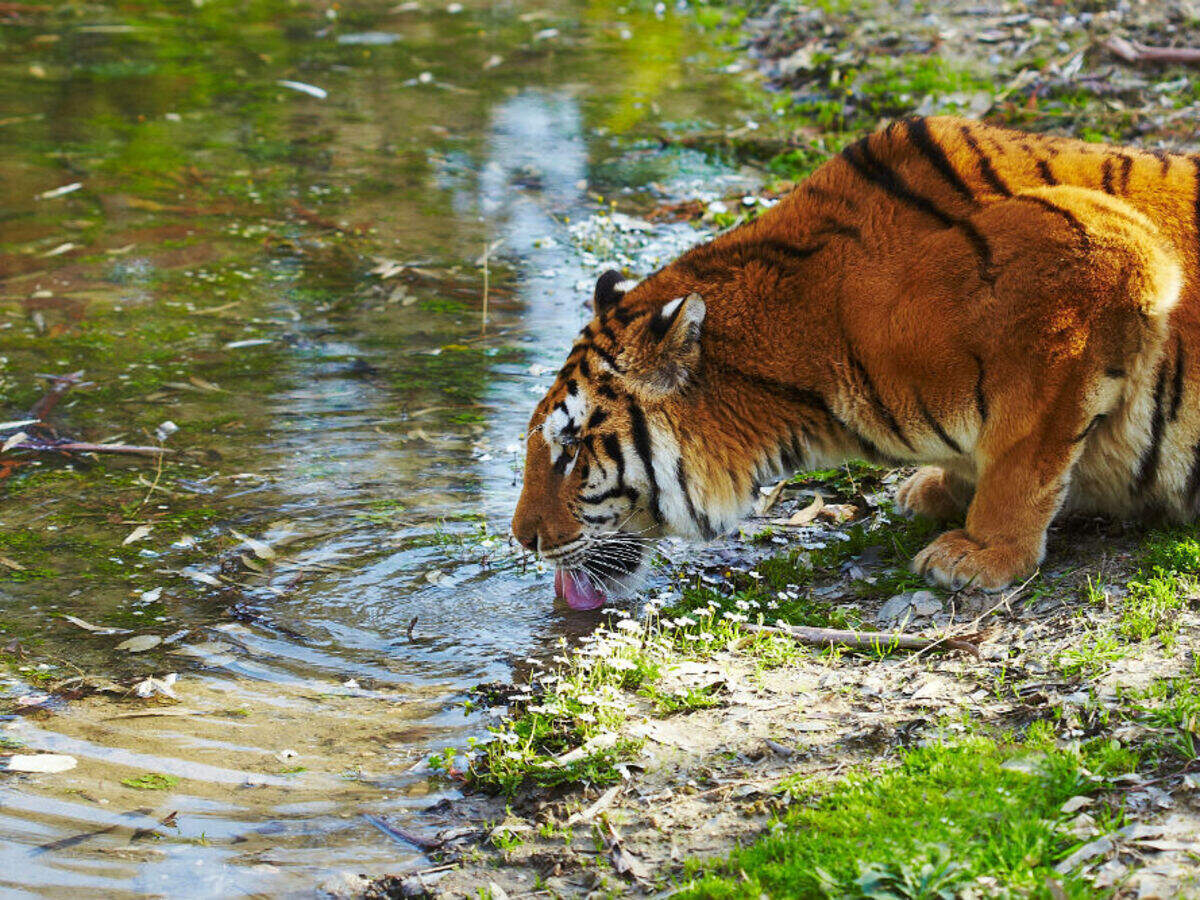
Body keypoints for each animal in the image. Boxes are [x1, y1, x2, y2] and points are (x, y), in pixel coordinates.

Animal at [508, 116, 1190, 614]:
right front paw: (938, 490)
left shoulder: (1104, 253)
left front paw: (982, 552)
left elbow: (1024, 450)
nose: (523, 540)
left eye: (572, 448)